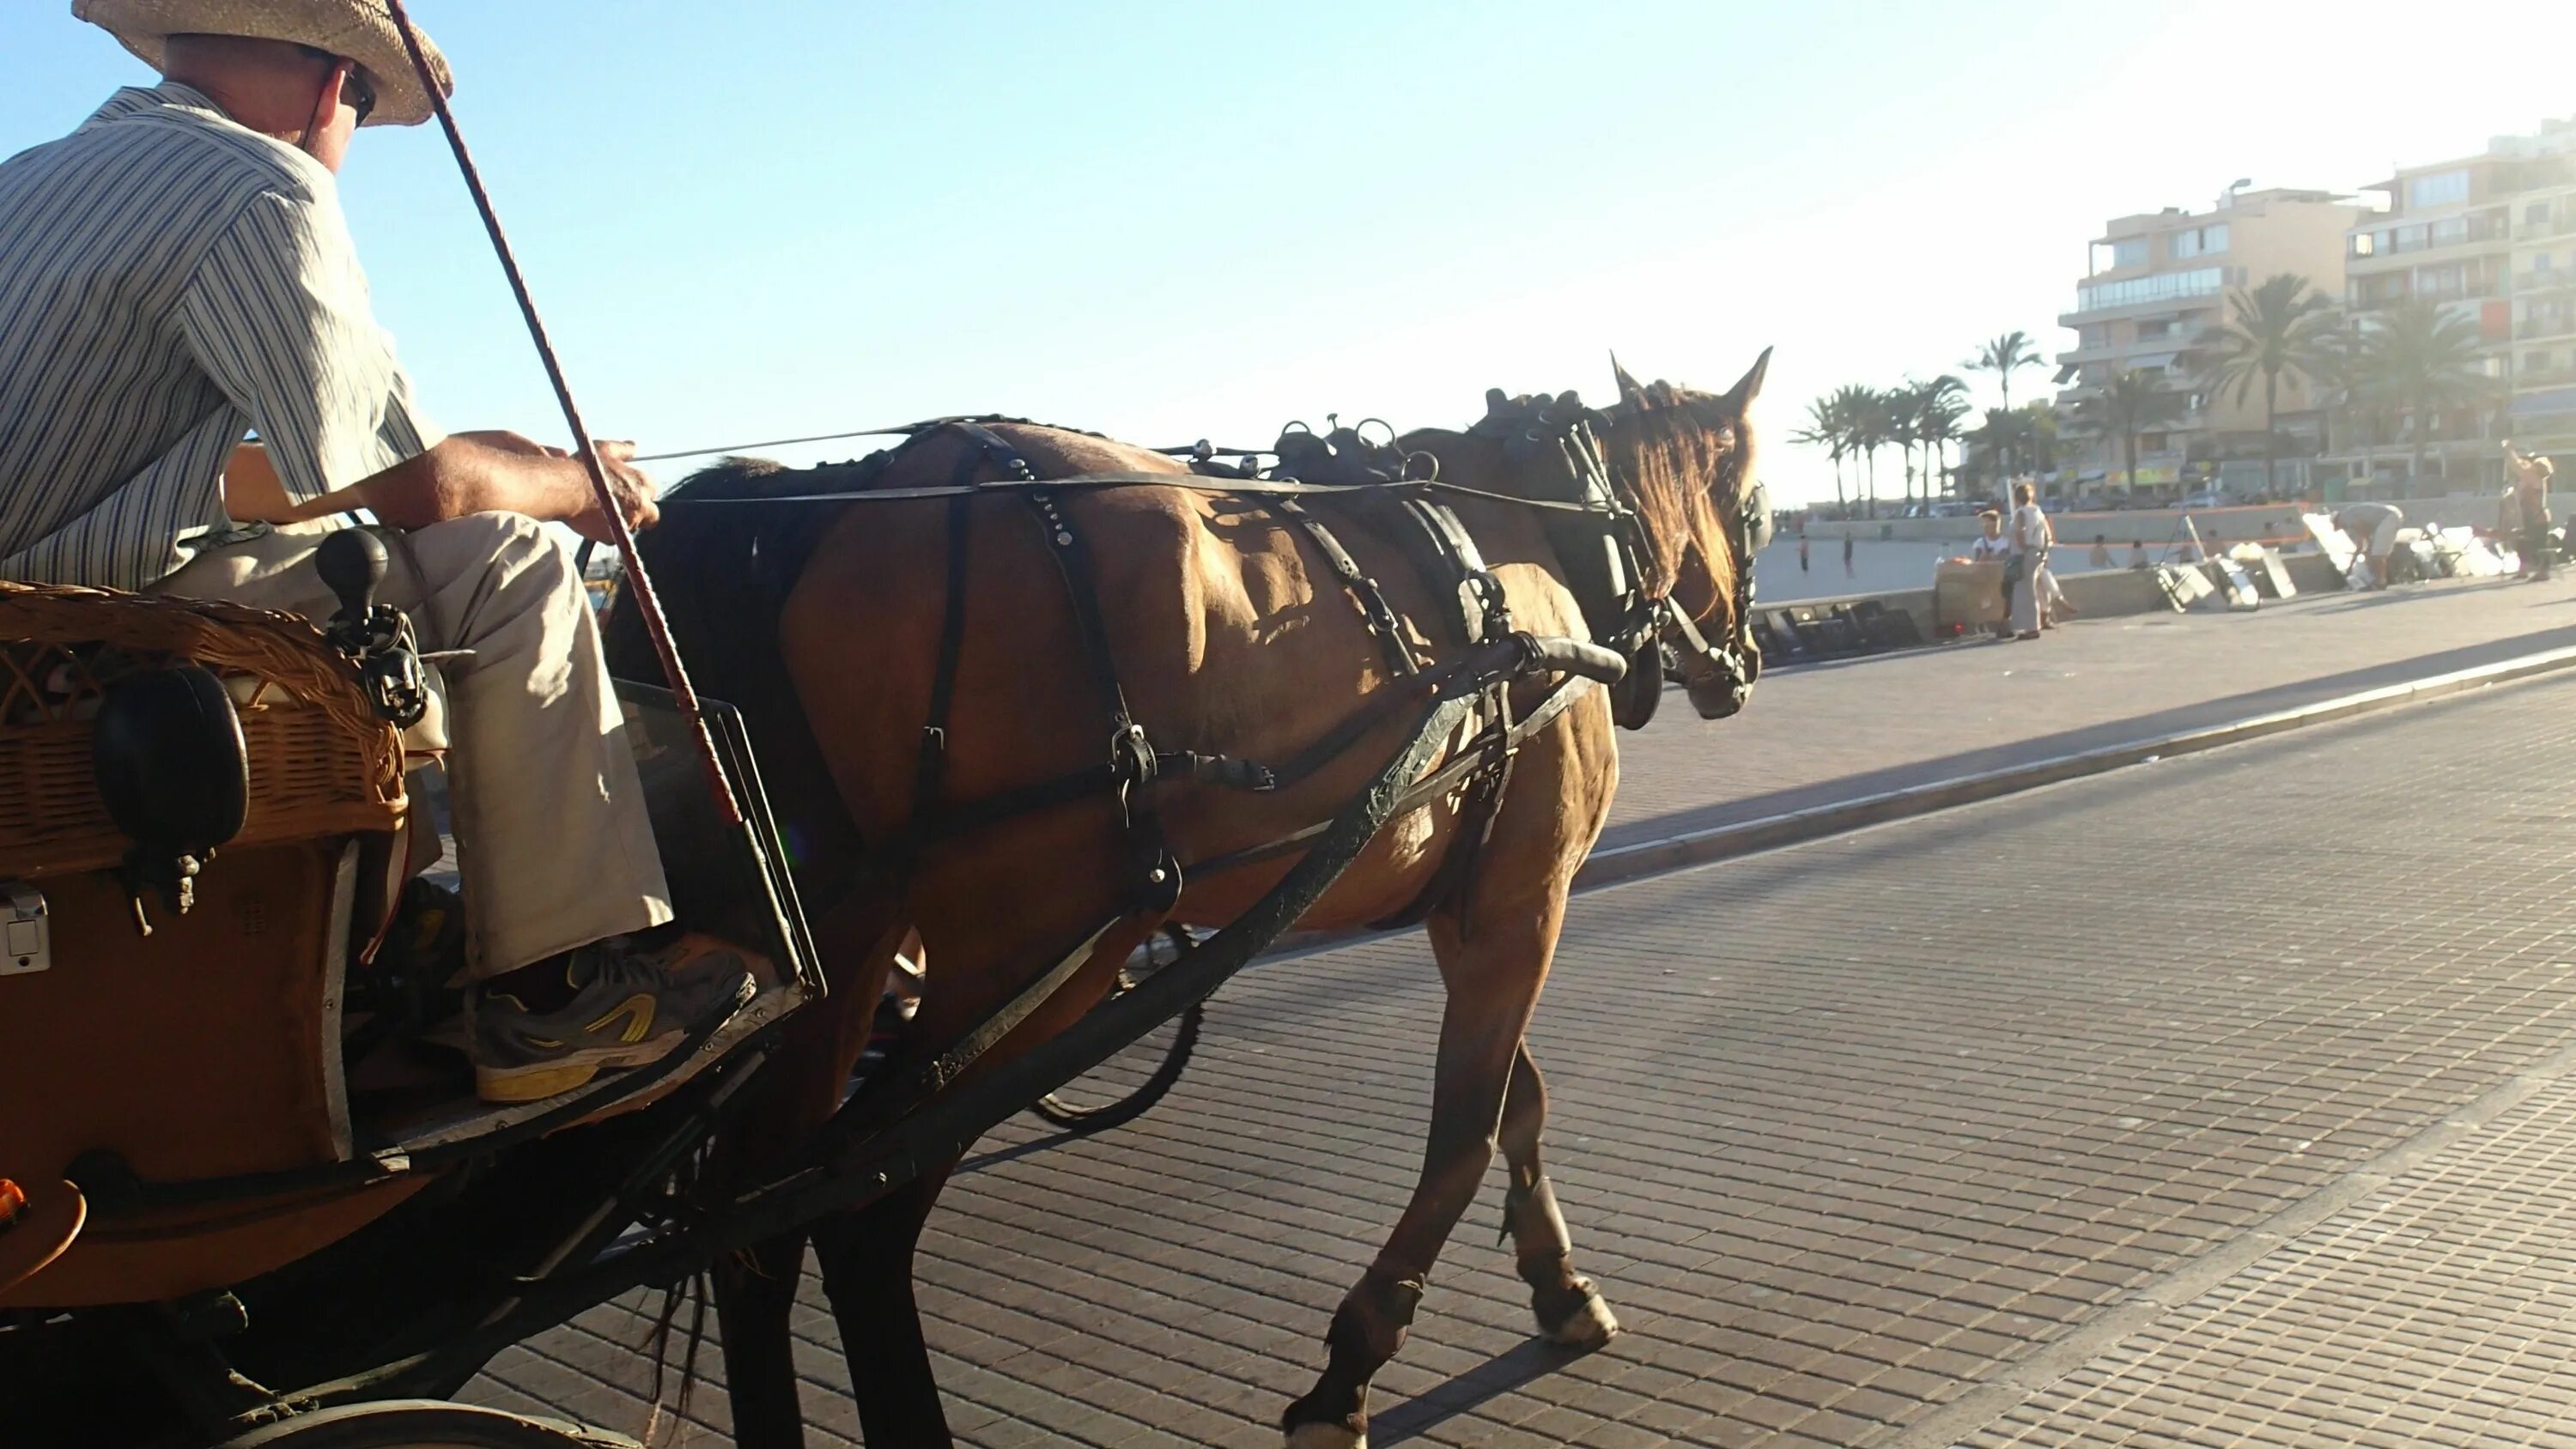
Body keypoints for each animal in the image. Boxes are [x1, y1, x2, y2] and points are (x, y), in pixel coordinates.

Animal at [613, 347, 1762, 1441]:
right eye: (1754, 508)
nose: (1743, 662)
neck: (1530, 540)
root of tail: (846, 491)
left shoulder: (1468, 905)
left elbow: (1520, 1100)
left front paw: (1559, 1282)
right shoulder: (1527, 898)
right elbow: (1467, 1130)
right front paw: (1349, 1366)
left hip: (850, 940)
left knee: (753, 1227)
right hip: (1043, 945)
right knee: (858, 1219)